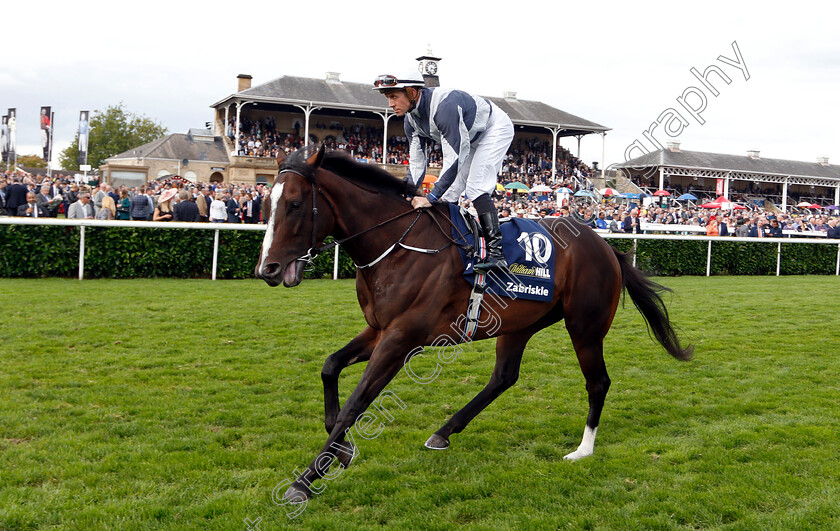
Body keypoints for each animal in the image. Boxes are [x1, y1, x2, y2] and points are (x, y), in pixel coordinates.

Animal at [258, 145, 696, 502]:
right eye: (266, 205)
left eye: (294, 204)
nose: (268, 268)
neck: (398, 246)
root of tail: (605, 245)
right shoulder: (380, 329)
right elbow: (330, 366)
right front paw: (340, 448)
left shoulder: (401, 338)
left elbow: (356, 403)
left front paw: (305, 479)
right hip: (520, 324)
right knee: (504, 377)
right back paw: (444, 431)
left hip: (585, 326)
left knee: (598, 382)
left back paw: (582, 449)